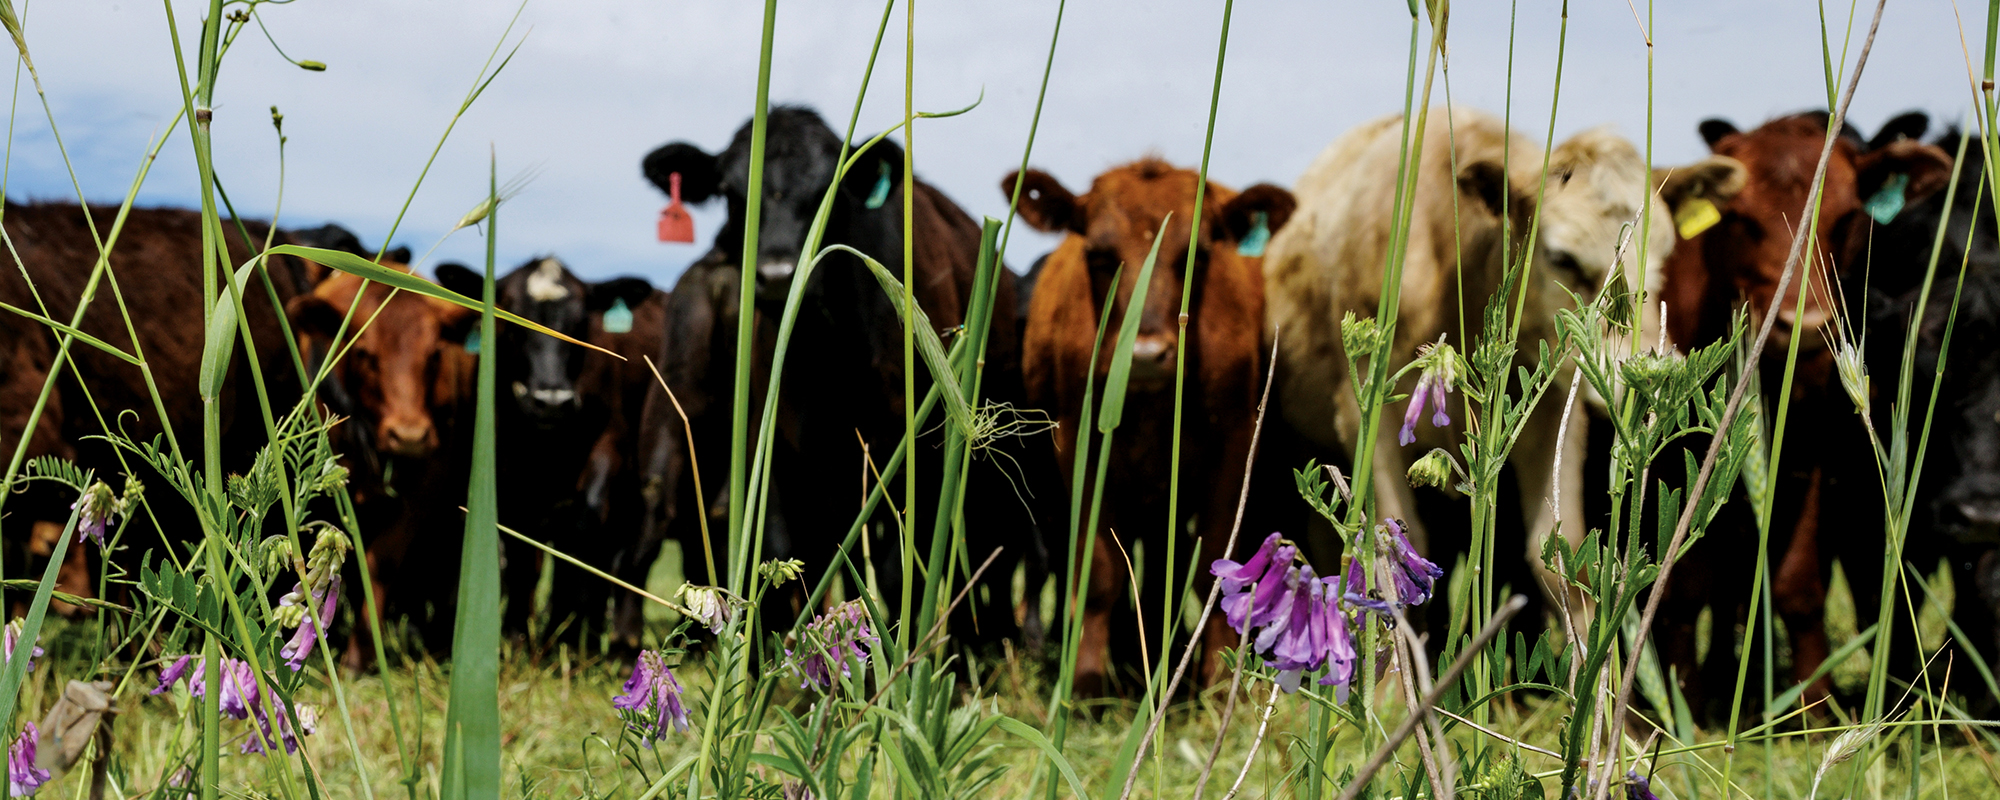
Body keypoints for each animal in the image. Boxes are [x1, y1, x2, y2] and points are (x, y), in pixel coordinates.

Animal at [632, 106, 1056, 648]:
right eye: (729, 190)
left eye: (828, 190)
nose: (776, 275)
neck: (828, 358)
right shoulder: (778, 452)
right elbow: (787, 560)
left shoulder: (912, 451)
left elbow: (899, 572)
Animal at [1008, 158, 1304, 692]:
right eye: (1099, 256)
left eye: (1199, 255)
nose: (1144, 355)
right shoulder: (1079, 447)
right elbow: (1099, 572)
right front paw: (1085, 684)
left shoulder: (1232, 448)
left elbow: (1213, 567)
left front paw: (1213, 682)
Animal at [1656, 111, 1952, 712]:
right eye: (1739, 219)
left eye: (1844, 218)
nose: (1805, 324)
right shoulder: (1679, 450)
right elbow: (1687, 583)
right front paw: (1684, 702)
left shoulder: (1814, 453)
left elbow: (1798, 584)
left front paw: (1813, 703)